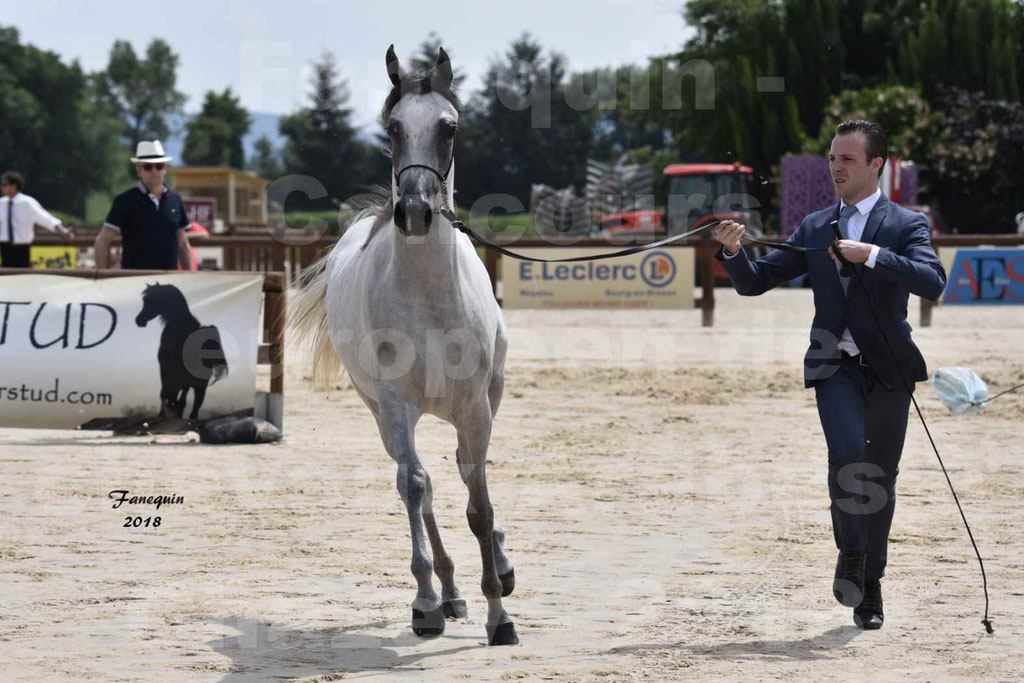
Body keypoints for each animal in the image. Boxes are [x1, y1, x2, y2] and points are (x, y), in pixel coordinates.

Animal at [290, 45, 516, 643]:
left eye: (449, 128)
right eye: (393, 128)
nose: (414, 213)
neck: (428, 296)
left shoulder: (475, 408)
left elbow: (479, 503)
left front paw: (500, 614)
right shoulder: (395, 406)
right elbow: (416, 487)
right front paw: (427, 602)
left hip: (486, 399)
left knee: (466, 472)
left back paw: (500, 569)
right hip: (382, 415)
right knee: (424, 482)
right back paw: (449, 593)